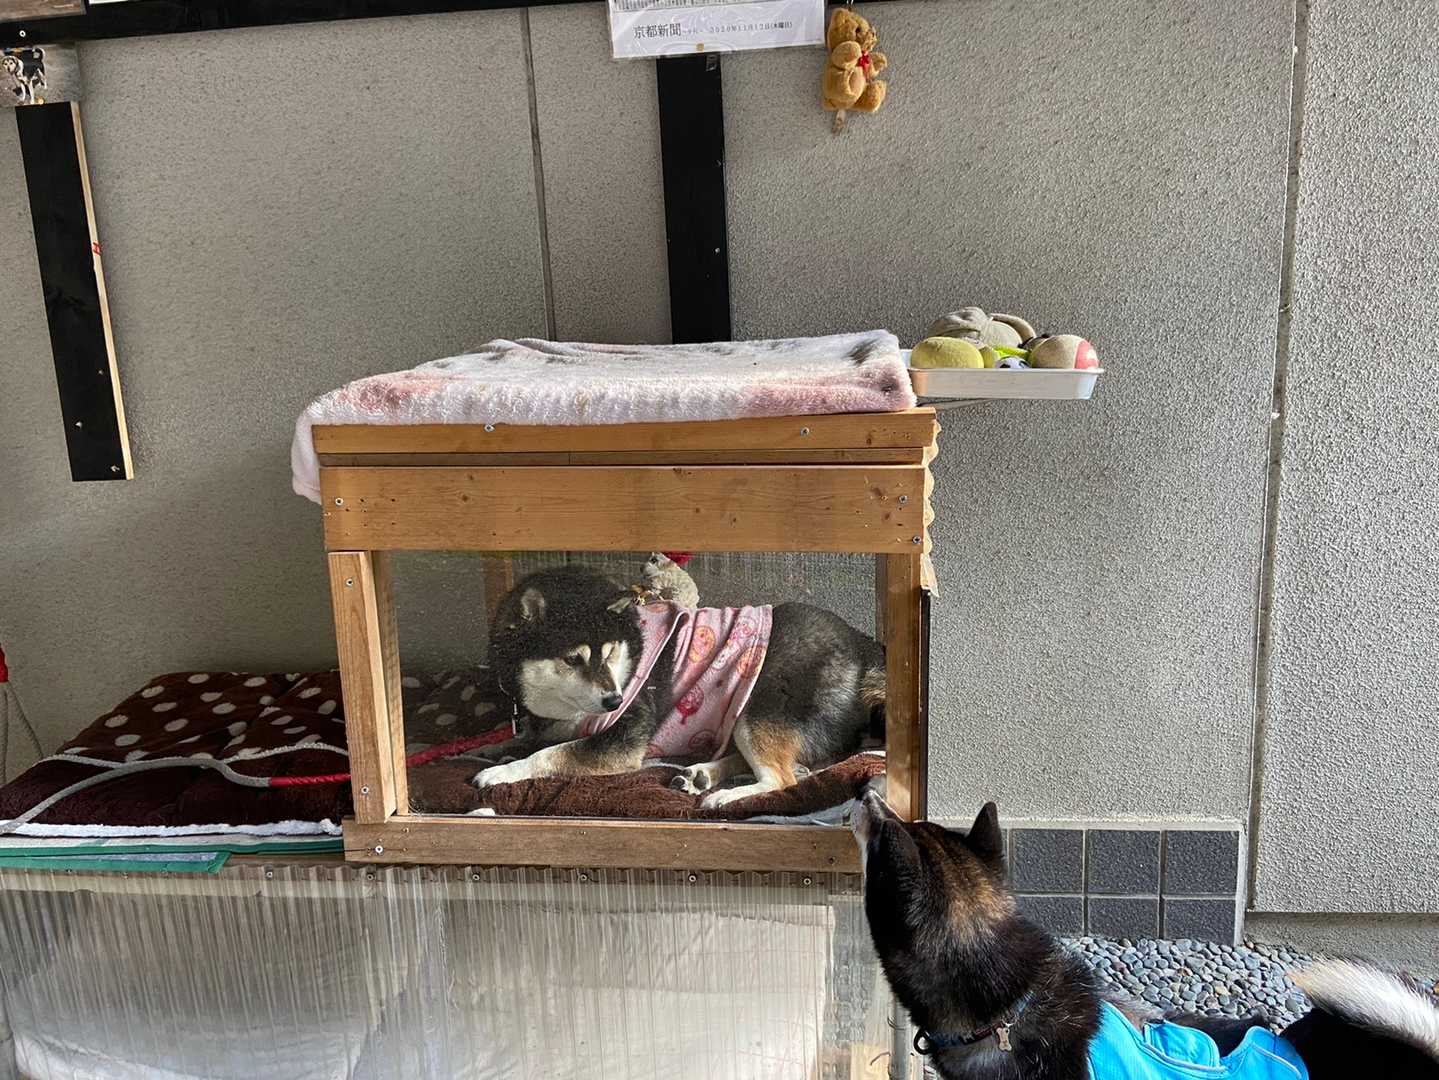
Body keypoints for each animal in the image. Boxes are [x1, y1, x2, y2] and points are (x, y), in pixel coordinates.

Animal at [469, 564, 885, 808]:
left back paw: (726, 796)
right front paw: (491, 748)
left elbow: (547, 755)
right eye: (573, 659)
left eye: (609, 651)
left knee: (782, 778)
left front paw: (503, 772)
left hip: (755, 710)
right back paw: (701, 775)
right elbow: (525, 739)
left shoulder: (619, 742)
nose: (615, 699)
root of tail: (861, 646)